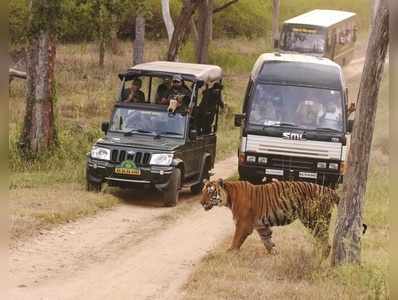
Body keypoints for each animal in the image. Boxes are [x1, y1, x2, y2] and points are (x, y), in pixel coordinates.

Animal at [201, 178, 340, 258]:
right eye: (203, 191)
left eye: (210, 192)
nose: (201, 203)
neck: (229, 196)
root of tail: (329, 190)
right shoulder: (261, 226)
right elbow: (267, 240)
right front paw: (274, 254)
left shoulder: (243, 224)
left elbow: (236, 240)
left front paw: (229, 253)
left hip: (313, 220)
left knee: (325, 242)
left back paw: (318, 258)